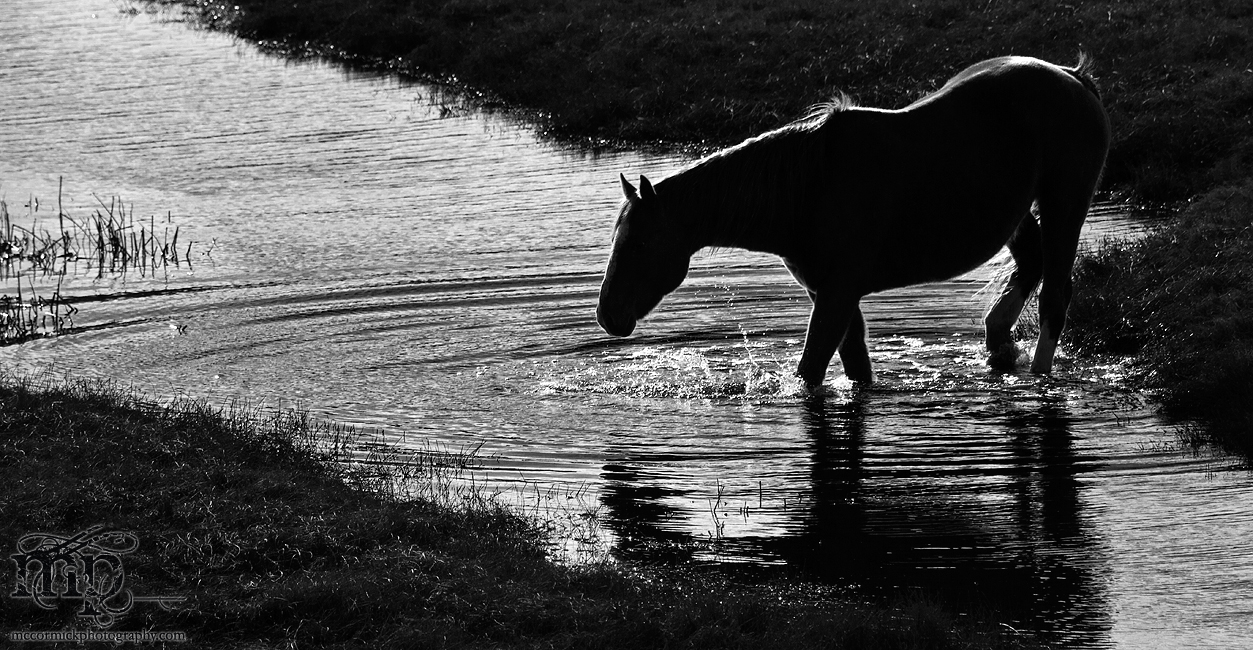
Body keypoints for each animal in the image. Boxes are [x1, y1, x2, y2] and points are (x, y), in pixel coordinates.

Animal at [596, 56, 1111, 386]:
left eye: (639, 244)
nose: (607, 316)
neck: (810, 189)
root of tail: (1074, 76)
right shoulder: (831, 293)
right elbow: (856, 365)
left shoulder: (837, 294)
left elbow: (811, 370)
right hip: (1020, 216)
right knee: (1030, 268)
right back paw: (999, 347)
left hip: (1065, 205)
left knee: (1054, 296)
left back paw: (1039, 378)